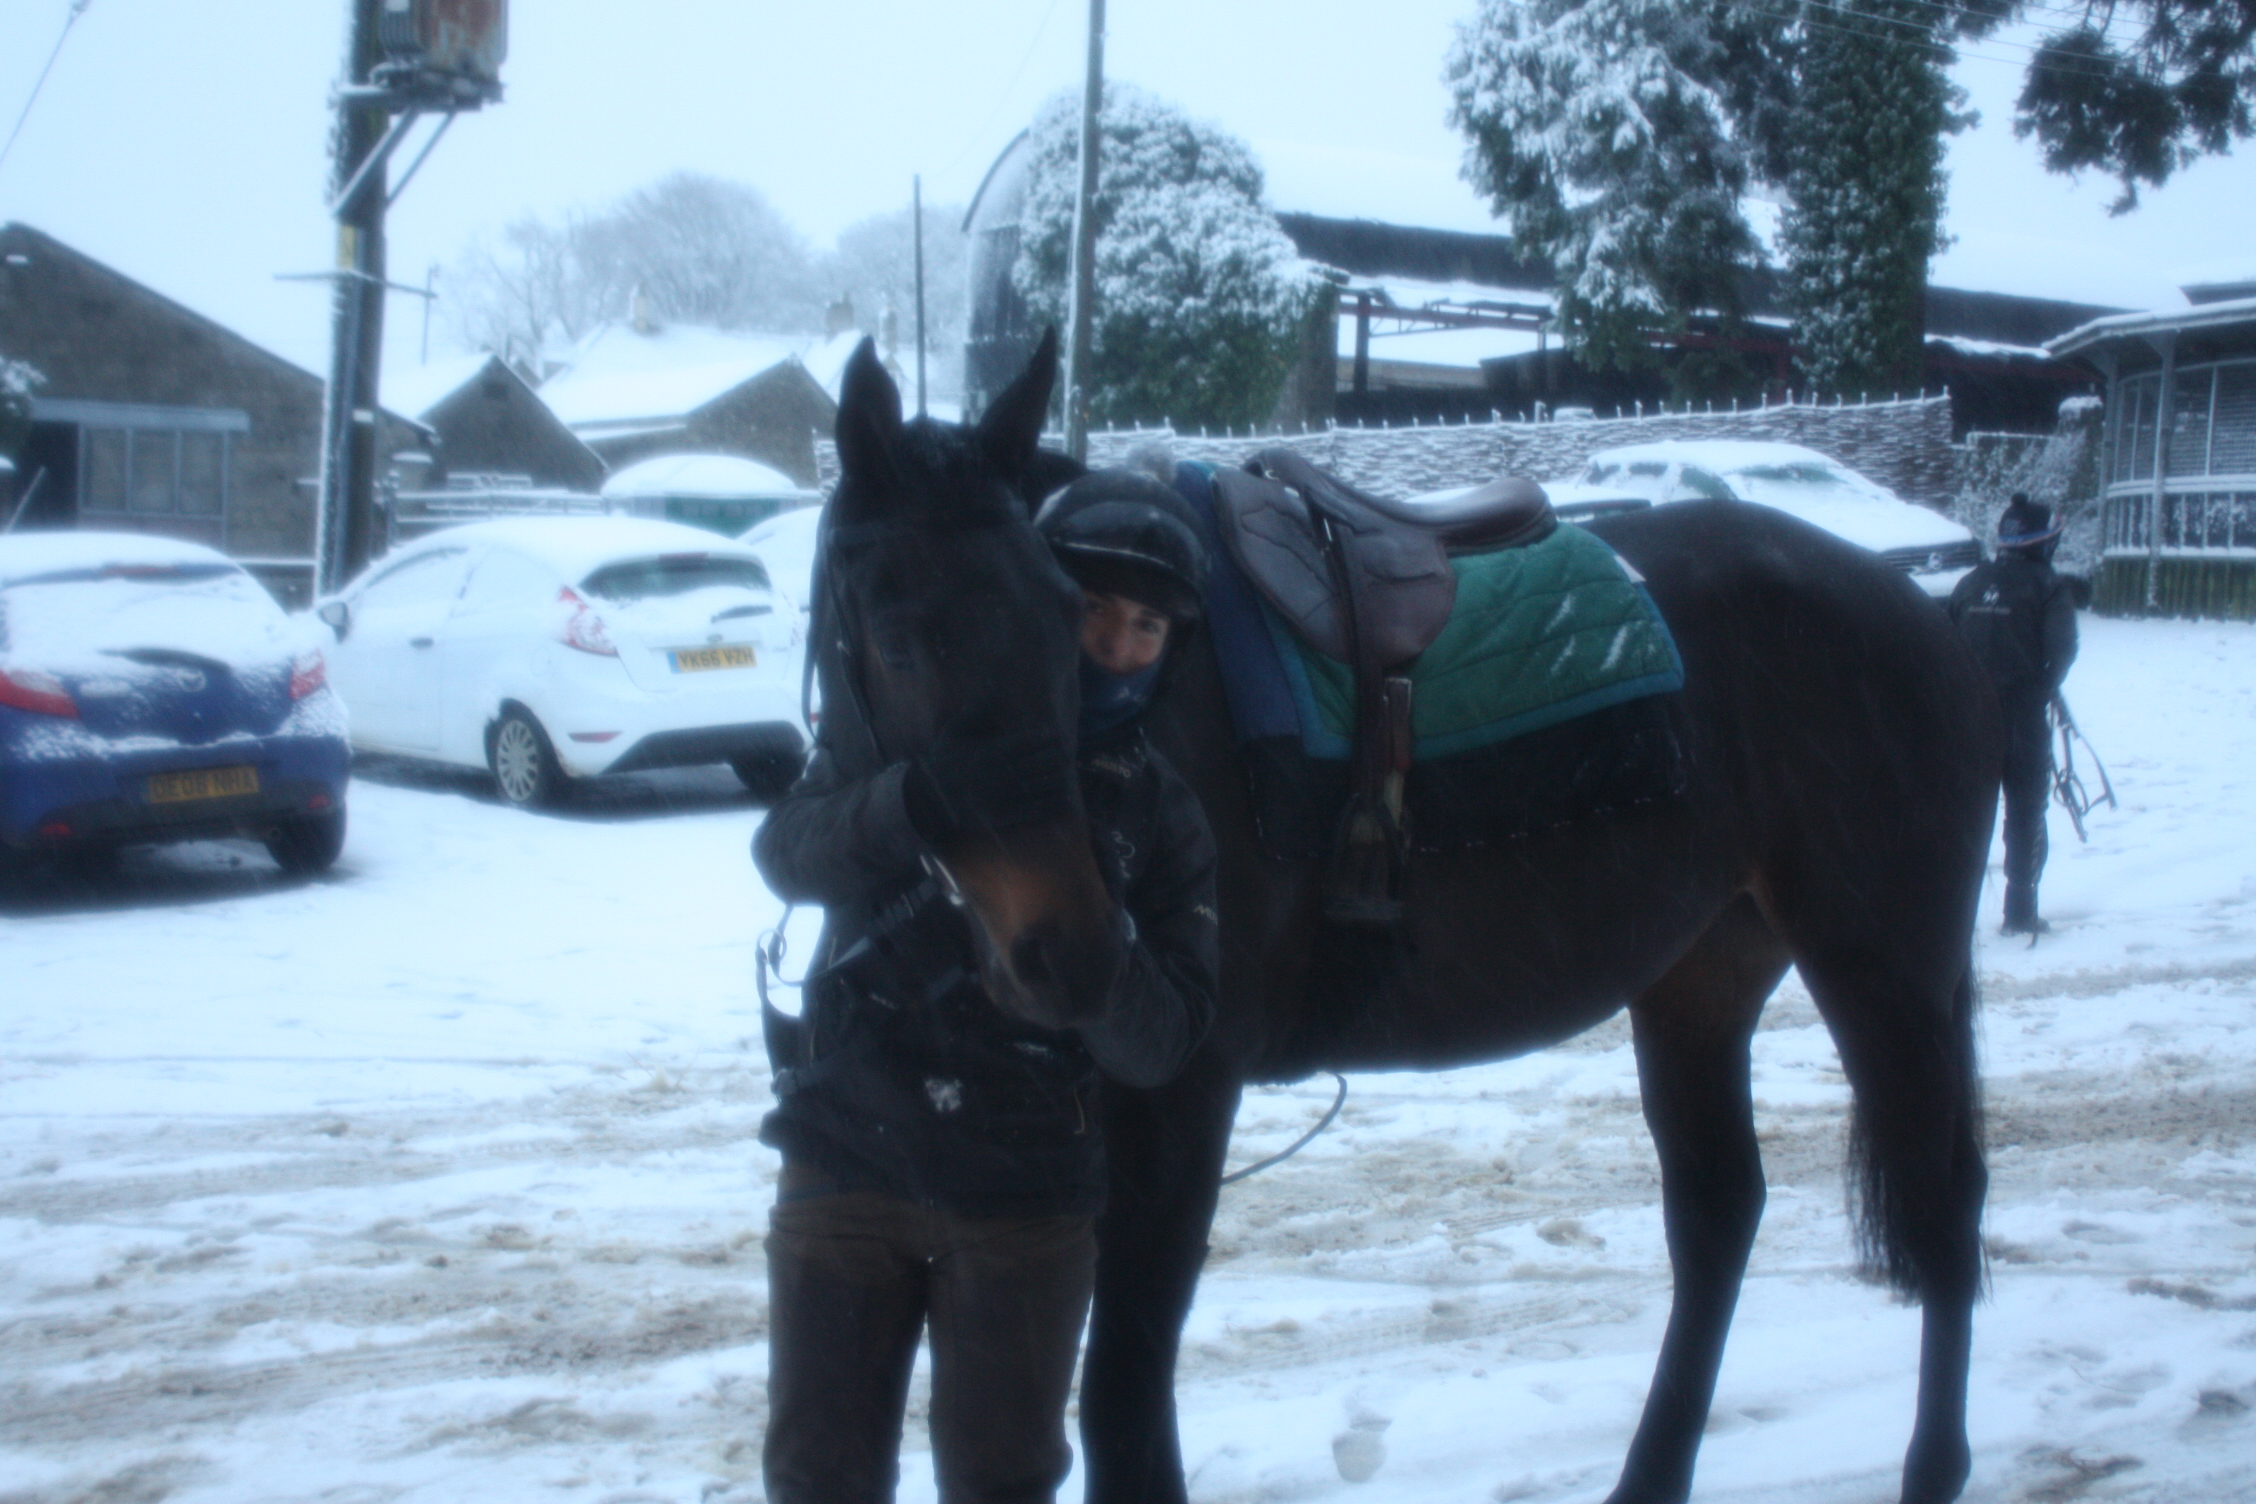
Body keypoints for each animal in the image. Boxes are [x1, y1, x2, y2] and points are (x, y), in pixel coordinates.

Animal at [821, 340, 2003, 1504]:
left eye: (1058, 620)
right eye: (897, 639)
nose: (1069, 945)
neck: (1154, 697)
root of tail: (1924, 612)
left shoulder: (1183, 1092)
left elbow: (1122, 1391)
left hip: (1882, 971)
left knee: (1943, 1207)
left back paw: (1933, 1467)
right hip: (1701, 982)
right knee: (1719, 1212)